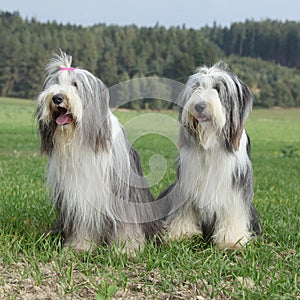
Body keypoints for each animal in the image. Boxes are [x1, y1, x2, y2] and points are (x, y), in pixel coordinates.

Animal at [37, 51, 159, 251]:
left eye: (75, 85)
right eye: (55, 83)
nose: (56, 98)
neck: (79, 139)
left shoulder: (121, 193)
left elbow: (127, 223)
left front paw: (126, 249)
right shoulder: (78, 197)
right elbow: (83, 225)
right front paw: (79, 247)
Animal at [161, 62, 262, 248]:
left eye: (217, 88)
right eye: (196, 87)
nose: (199, 106)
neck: (211, 142)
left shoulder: (236, 185)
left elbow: (233, 211)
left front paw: (232, 240)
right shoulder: (186, 183)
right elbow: (183, 210)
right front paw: (180, 234)